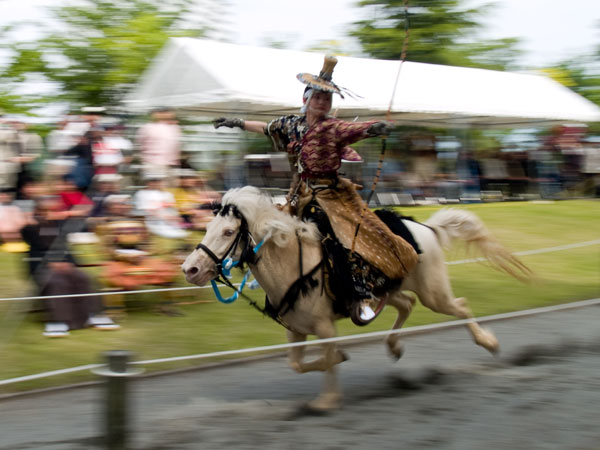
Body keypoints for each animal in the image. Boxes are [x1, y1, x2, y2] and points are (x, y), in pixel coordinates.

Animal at [182, 186, 528, 412]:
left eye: (228, 233)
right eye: (208, 227)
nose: (190, 269)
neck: (292, 265)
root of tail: (427, 228)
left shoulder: (324, 327)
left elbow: (325, 359)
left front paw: (327, 399)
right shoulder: (296, 329)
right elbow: (296, 364)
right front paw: (337, 361)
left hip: (434, 292)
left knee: (461, 305)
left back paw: (489, 343)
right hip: (387, 292)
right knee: (407, 304)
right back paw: (394, 347)